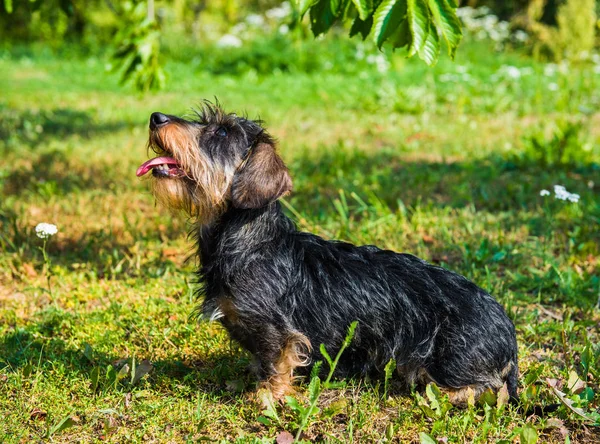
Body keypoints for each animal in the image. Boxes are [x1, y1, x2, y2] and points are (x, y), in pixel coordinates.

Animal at [137, 102, 520, 404]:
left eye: (220, 132)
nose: (156, 117)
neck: (250, 242)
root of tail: (508, 332)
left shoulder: (277, 331)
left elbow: (277, 362)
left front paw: (268, 396)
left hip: (449, 361)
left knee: (486, 388)